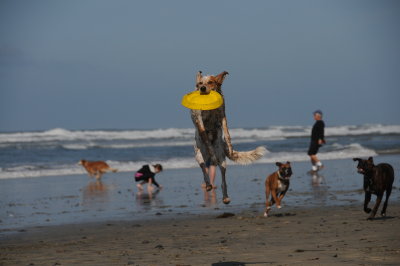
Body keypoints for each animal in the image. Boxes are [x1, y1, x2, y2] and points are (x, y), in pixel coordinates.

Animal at [191, 70, 266, 204]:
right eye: (199, 83)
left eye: (210, 82)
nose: (202, 88)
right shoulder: (199, 120)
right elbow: (205, 136)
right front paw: (210, 147)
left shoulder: (222, 116)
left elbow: (227, 133)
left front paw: (230, 147)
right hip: (199, 155)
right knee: (204, 170)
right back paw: (208, 184)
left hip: (222, 160)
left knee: (223, 179)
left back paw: (225, 196)